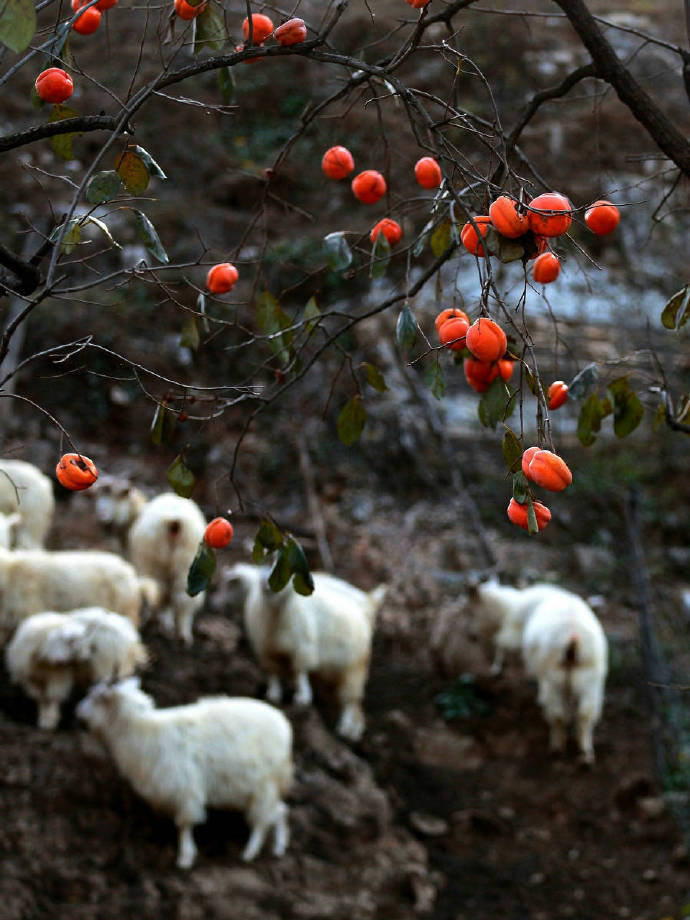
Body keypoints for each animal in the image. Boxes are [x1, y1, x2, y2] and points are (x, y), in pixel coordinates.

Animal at [5, 608, 148, 728]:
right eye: (72, 642)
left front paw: (49, 721)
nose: (86, 657)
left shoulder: (59, 678)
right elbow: (40, 698)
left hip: (108, 667)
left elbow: (52, 697)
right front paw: (43, 719)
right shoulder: (31, 679)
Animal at [76, 684, 292, 868]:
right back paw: (279, 848)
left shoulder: (184, 788)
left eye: (96, 698)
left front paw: (185, 857)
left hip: (264, 783)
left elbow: (184, 825)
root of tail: (284, 725)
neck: (142, 731)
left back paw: (250, 852)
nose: (77, 714)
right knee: (279, 810)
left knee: (263, 821)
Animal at [227, 560, 384, 740]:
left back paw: (348, 728)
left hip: (353, 669)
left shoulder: (302, 647)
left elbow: (300, 671)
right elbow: (273, 673)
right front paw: (273, 694)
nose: (269, 585)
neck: (274, 613)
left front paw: (302, 697)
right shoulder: (266, 650)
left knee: (351, 701)